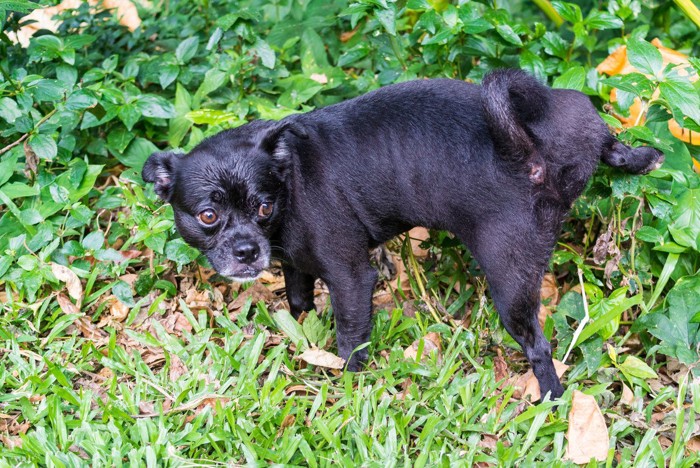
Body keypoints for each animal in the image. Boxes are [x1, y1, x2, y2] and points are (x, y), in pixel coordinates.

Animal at [141, 69, 660, 398]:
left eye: (264, 207)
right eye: (209, 216)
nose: (247, 251)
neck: (289, 178)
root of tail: (528, 148)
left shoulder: (351, 279)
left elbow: (350, 340)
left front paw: (347, 389)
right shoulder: (295, 265)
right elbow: (299, 302)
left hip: (509, 279)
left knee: (539, 345)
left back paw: (550, 398)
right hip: (576, 115)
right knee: (609, 141)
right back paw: (644, 156)